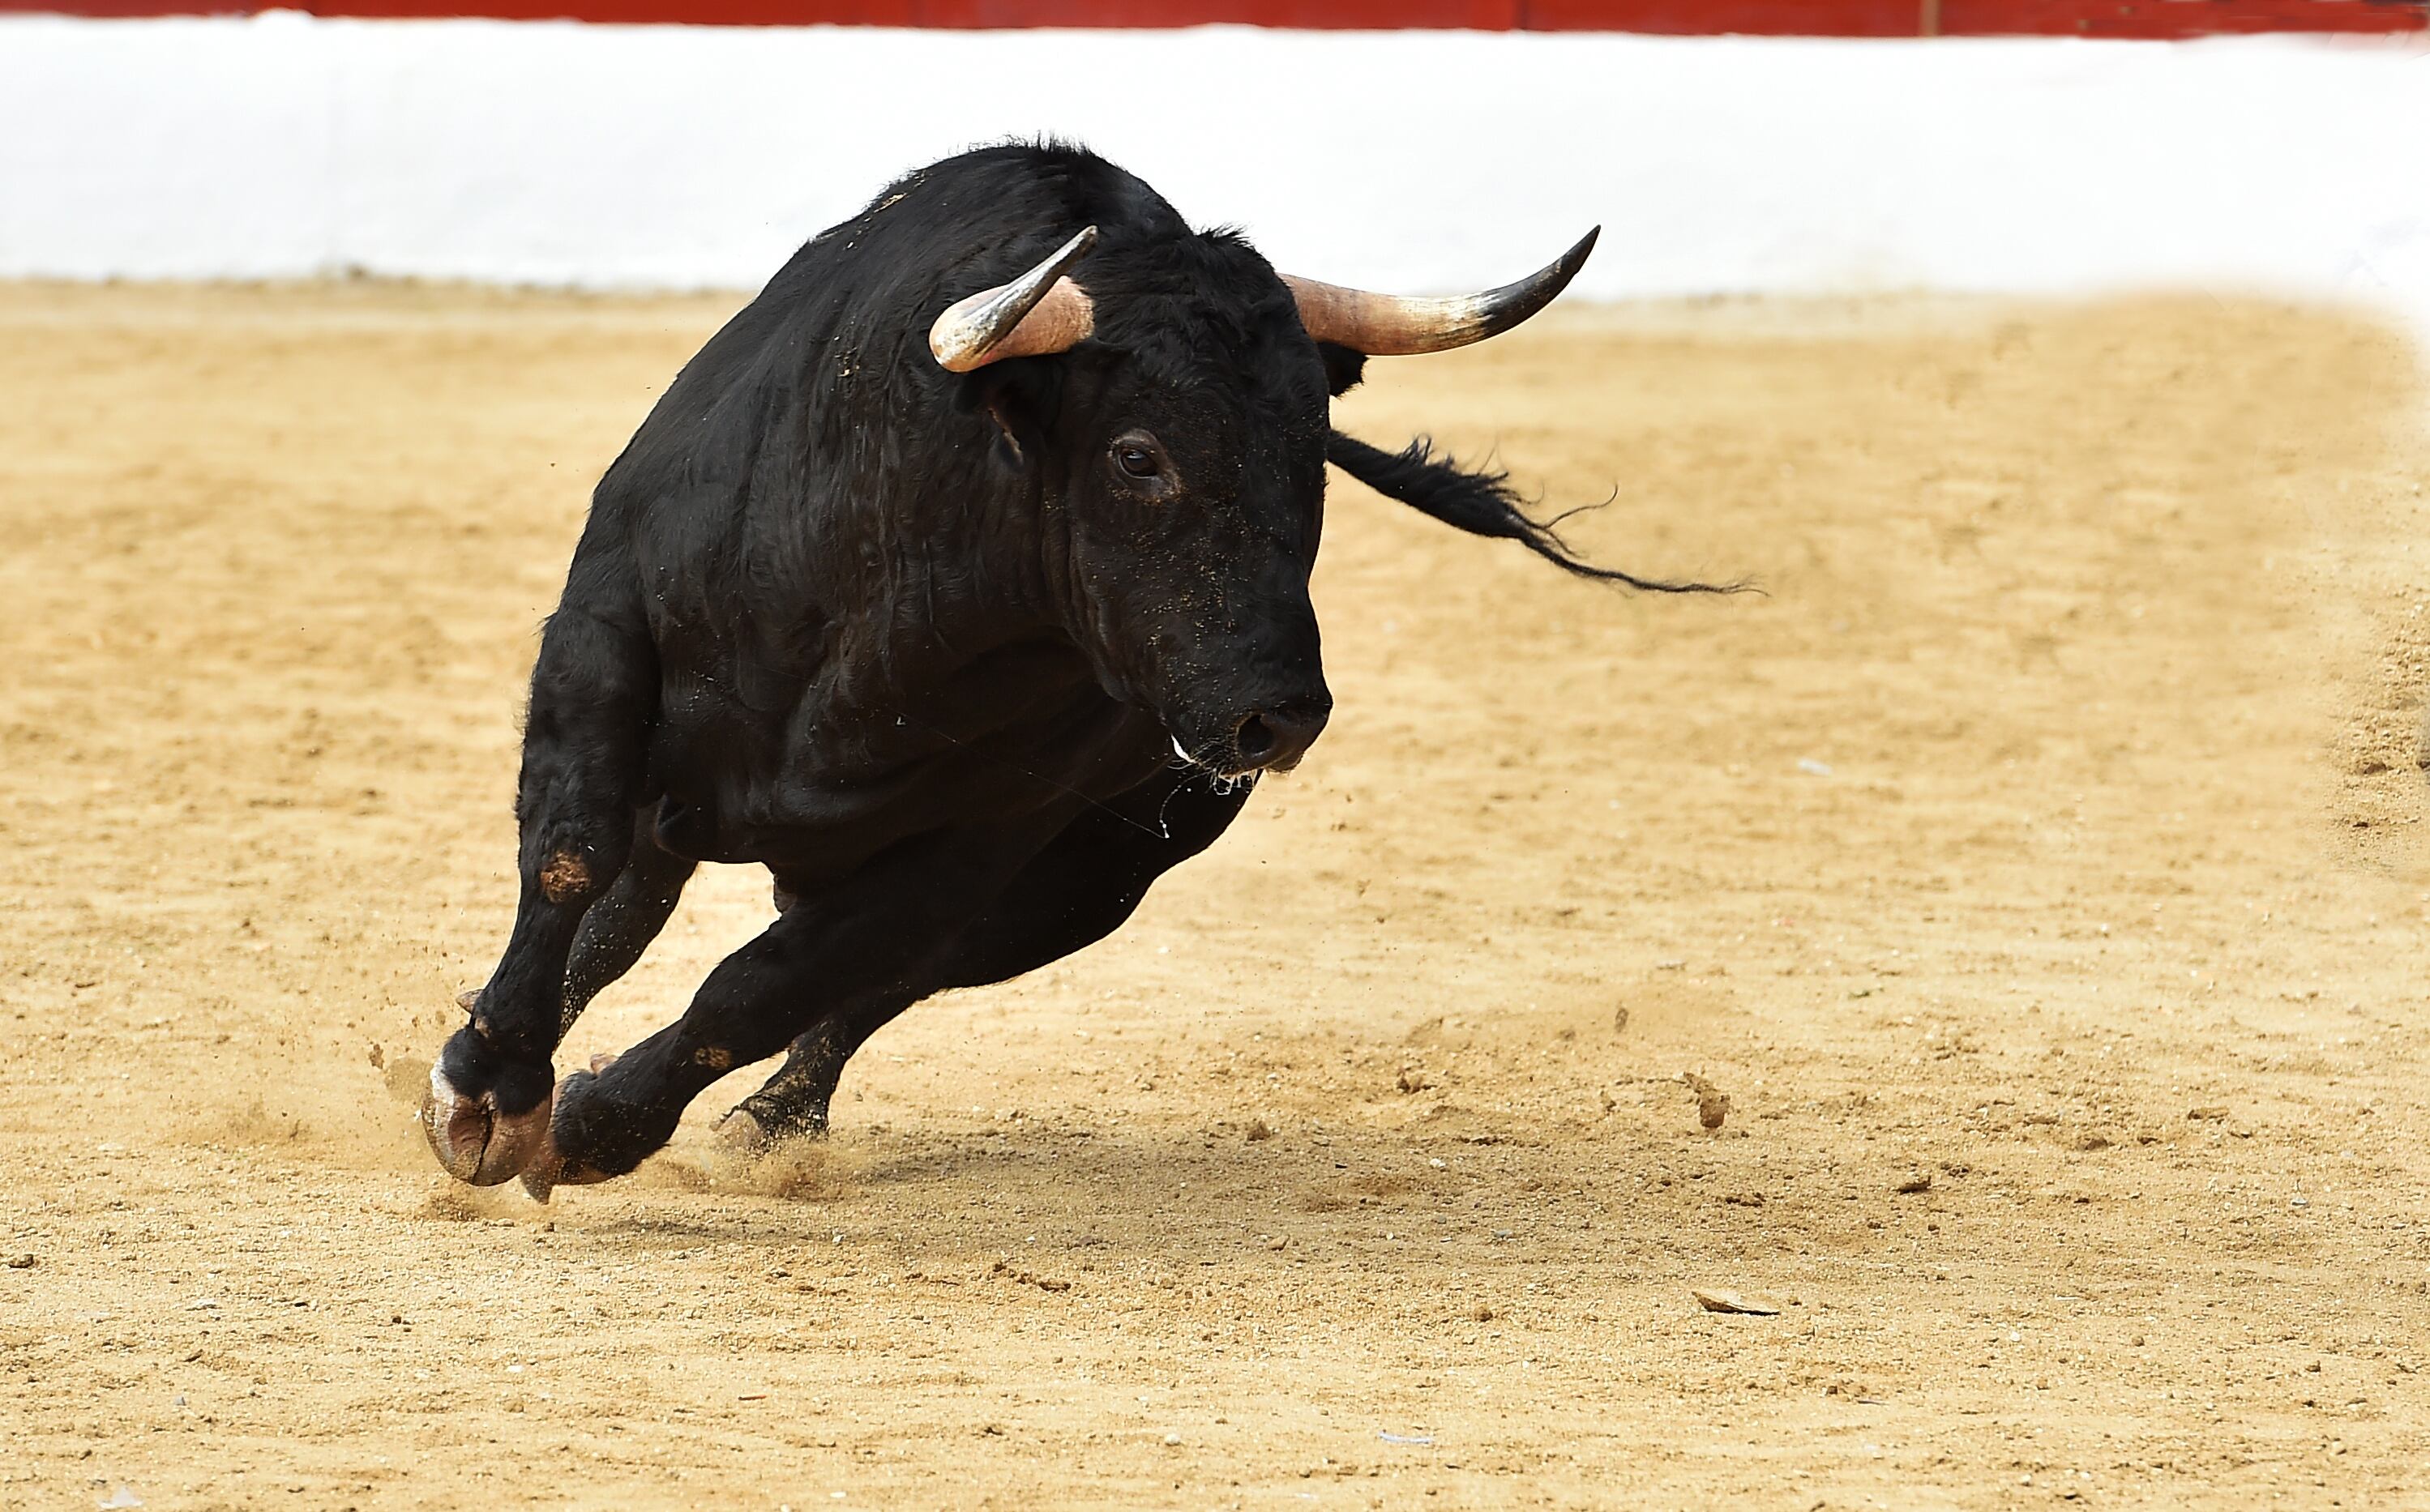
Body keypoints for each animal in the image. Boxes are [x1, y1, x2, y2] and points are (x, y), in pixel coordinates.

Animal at [427, 142, 1739, 1196]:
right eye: (1137, 453)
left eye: (1313, 450)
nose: (1279, 718)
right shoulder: (602, 636)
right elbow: (567, 858)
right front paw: (487, 1088)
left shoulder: (989, 834)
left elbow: (767, 985)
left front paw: (596, 1123)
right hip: (692, 801)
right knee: (625, 909)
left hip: (1084, 884)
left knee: (876, 978)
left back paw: (770, 1125)